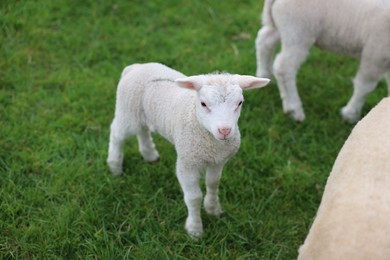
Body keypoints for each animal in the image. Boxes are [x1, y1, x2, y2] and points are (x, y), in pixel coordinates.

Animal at [106, 62, 272, 237]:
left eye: (240, 102)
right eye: (203, 104)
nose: (225, 130)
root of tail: (135, 67)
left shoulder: (218, 161)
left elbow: (213, 184)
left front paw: (213, 209)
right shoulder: (187, 163)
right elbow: (194, 198)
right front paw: (195, 229)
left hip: (141, 115)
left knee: (143, 130)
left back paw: (149, 155)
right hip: (127, 112)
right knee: (117, 133)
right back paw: (115, 166)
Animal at [254, 0, 390, 123]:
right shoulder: (375, 53)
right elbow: (364, 87)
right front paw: (350, 115)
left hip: (283, 26)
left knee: (264, 40)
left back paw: (264, 76)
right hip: (298, 31)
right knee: (284, 68)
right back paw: (294, 109)